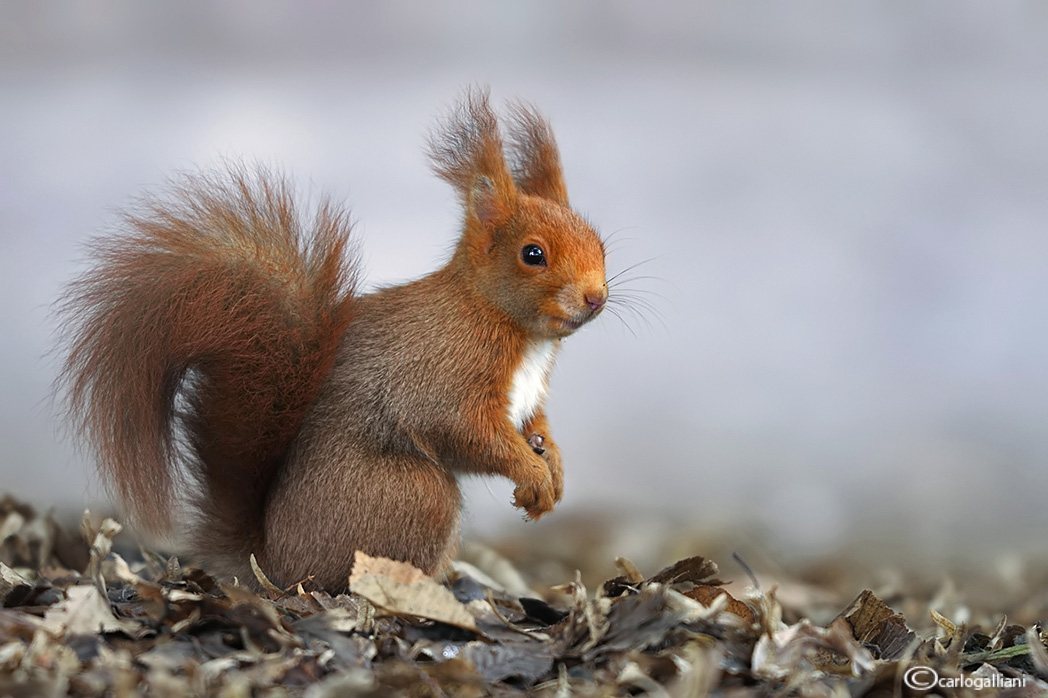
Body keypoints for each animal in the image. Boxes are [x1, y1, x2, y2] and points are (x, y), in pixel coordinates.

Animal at [57, 89, 608, 591]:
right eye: (532, 254)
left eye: (599, 243)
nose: (596, 297)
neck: (512, 326)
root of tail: (273, 565)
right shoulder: (443, 371)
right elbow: (467, 430)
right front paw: (531, 473)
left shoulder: (527, 395)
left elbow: (535, 424)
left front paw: (552, 467)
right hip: (413, 494)